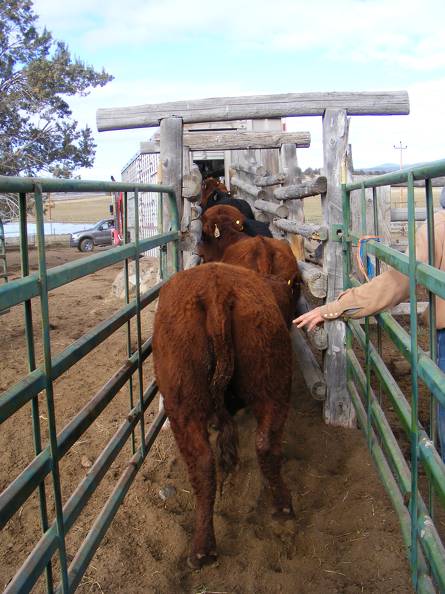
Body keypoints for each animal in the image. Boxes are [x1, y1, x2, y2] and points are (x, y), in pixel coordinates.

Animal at [151, 262, 294, 568]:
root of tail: (216, 291)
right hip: (273, 385)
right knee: (266, 445)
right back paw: (283, 508)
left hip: (183, 406)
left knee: (203, 464)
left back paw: (201, 551)